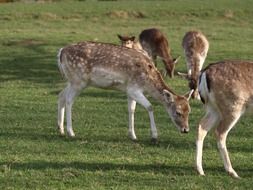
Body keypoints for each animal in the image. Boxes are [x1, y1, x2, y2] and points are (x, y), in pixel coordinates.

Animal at [56, 41, 193, 142]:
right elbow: (150, 107)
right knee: (69, 100)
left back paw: (60, 129)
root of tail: (61, 52)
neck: (148, 82)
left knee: (61, 96)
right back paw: (71, 132)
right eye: (178, 112)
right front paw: (154, 135)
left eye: (189, 111)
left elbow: (131, 109)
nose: (186, 130)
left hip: (72, 80)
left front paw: (132, 135)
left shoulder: (129, 90)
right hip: (78, 81)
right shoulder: (134, 88)